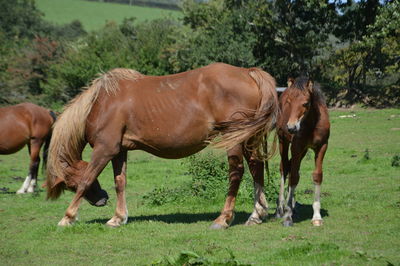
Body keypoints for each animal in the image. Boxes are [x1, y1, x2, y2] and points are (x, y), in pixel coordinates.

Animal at [46, 62, 278, 229]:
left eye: (70, 184)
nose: (102, 200)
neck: (101, 103)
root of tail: (248, 73)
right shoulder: (119, 151)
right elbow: (120, 182)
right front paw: (118, 218)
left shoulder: (105, 149)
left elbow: (87, 179)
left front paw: (67, 217)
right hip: (249, 138)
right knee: (256, 167)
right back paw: (256, 215)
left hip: (234, 137)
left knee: (236, 172)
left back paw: (223, 219)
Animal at [276, 77, 332, 227]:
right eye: (289, 101)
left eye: (306, 103)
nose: (291, 127)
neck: (312, 124)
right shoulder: (296, 147)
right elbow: (294, 177)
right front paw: (287, 216)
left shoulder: (322, 147)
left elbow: (317, 175)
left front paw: (317, 217)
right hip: (283, 142)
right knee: (285, 168)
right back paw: (280, 209)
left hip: (303, 151)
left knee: (291, 169)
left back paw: (291, 206)